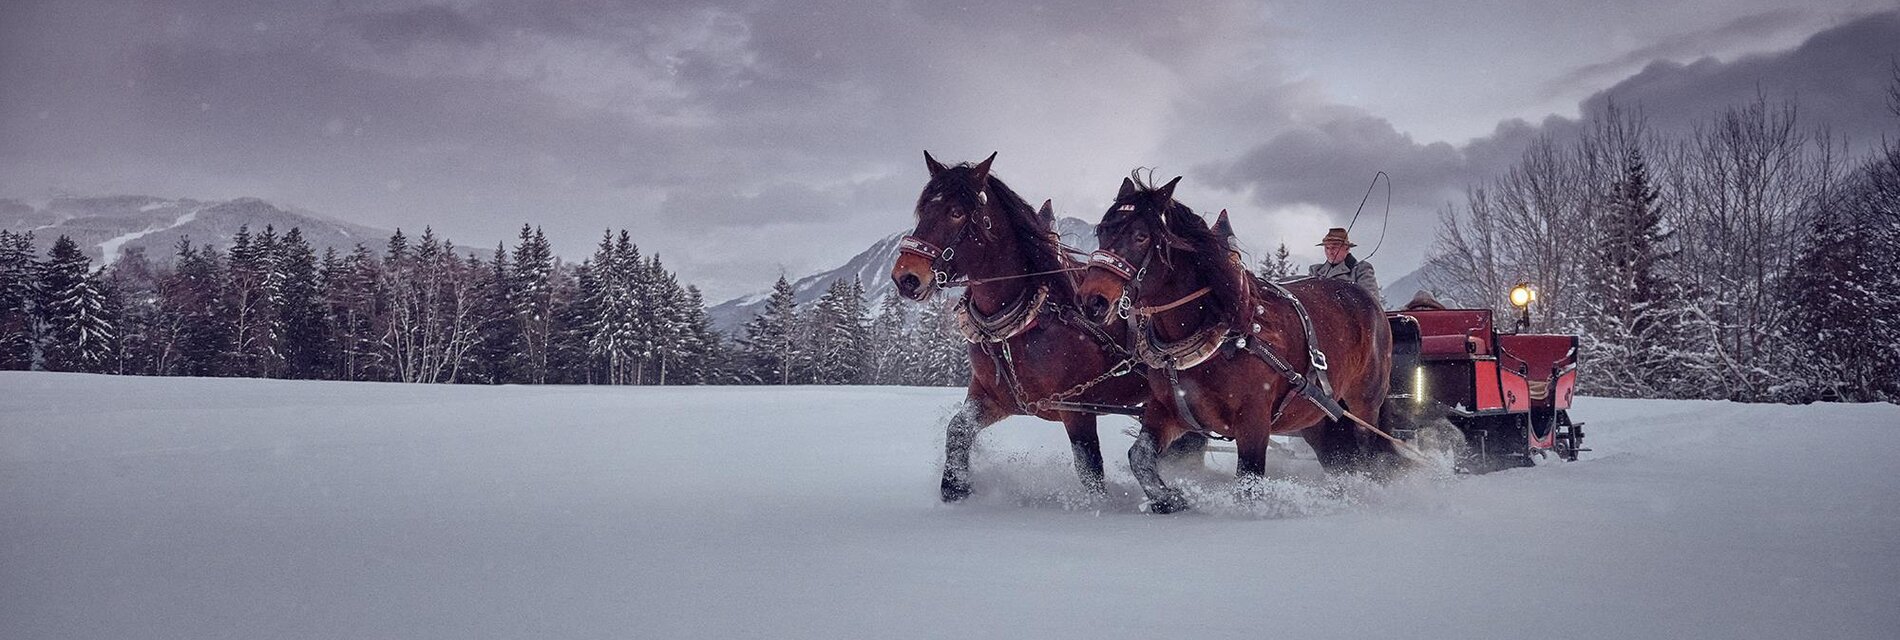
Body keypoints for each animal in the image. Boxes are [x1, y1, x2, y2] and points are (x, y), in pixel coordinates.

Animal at [893, 151, 1147, 501]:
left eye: (956, 212)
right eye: (923, 209)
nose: (905, 276)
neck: (1024, 325)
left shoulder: (1078, 410)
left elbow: (1090, 470)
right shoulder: (993, 396)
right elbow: (958, 430)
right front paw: (955, 489)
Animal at [1079, 171, 1406, 512]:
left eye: (1141, 236)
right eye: (1102, 231)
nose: (1093, 301)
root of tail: (1369, 302)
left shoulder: (1254, 420)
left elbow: (1248, 484)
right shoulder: (1167, 409)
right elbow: (1139, 457)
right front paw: (1170, 499)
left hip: (1364, 402)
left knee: (1366, 452)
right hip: (1314, 415)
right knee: (1341, 456)